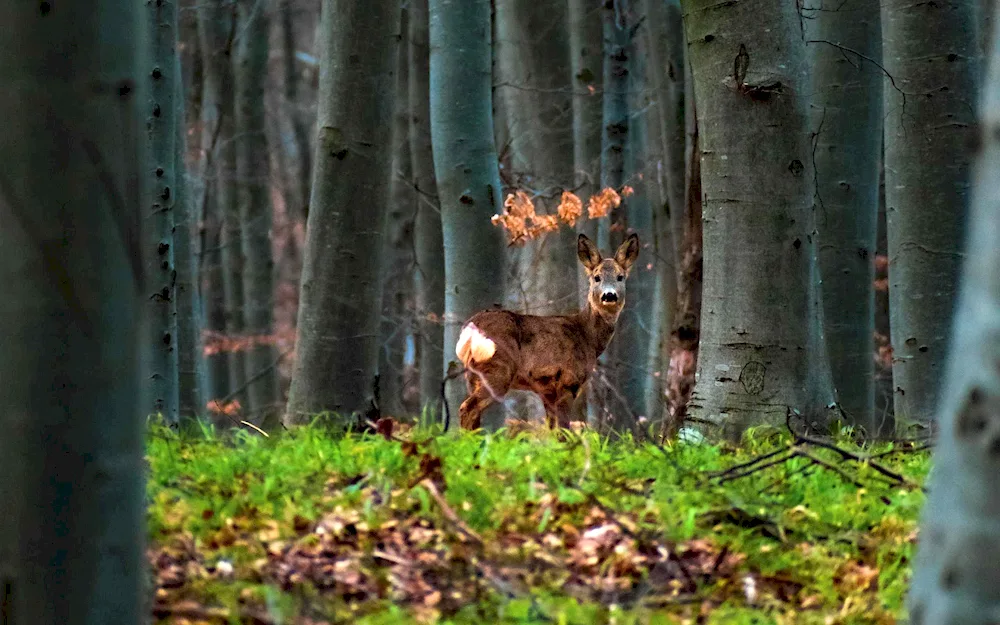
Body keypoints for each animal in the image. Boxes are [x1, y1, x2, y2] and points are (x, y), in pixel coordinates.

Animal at [456, 232, 640, 432]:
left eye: (620, 277)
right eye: (597, 277)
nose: (609, 295)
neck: (587, 337)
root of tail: (469, 329)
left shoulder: (547, 391)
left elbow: (553, 431)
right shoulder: (568, 382)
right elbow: (564, 430)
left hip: (472, 376)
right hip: (497, 368)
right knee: (467, 408)